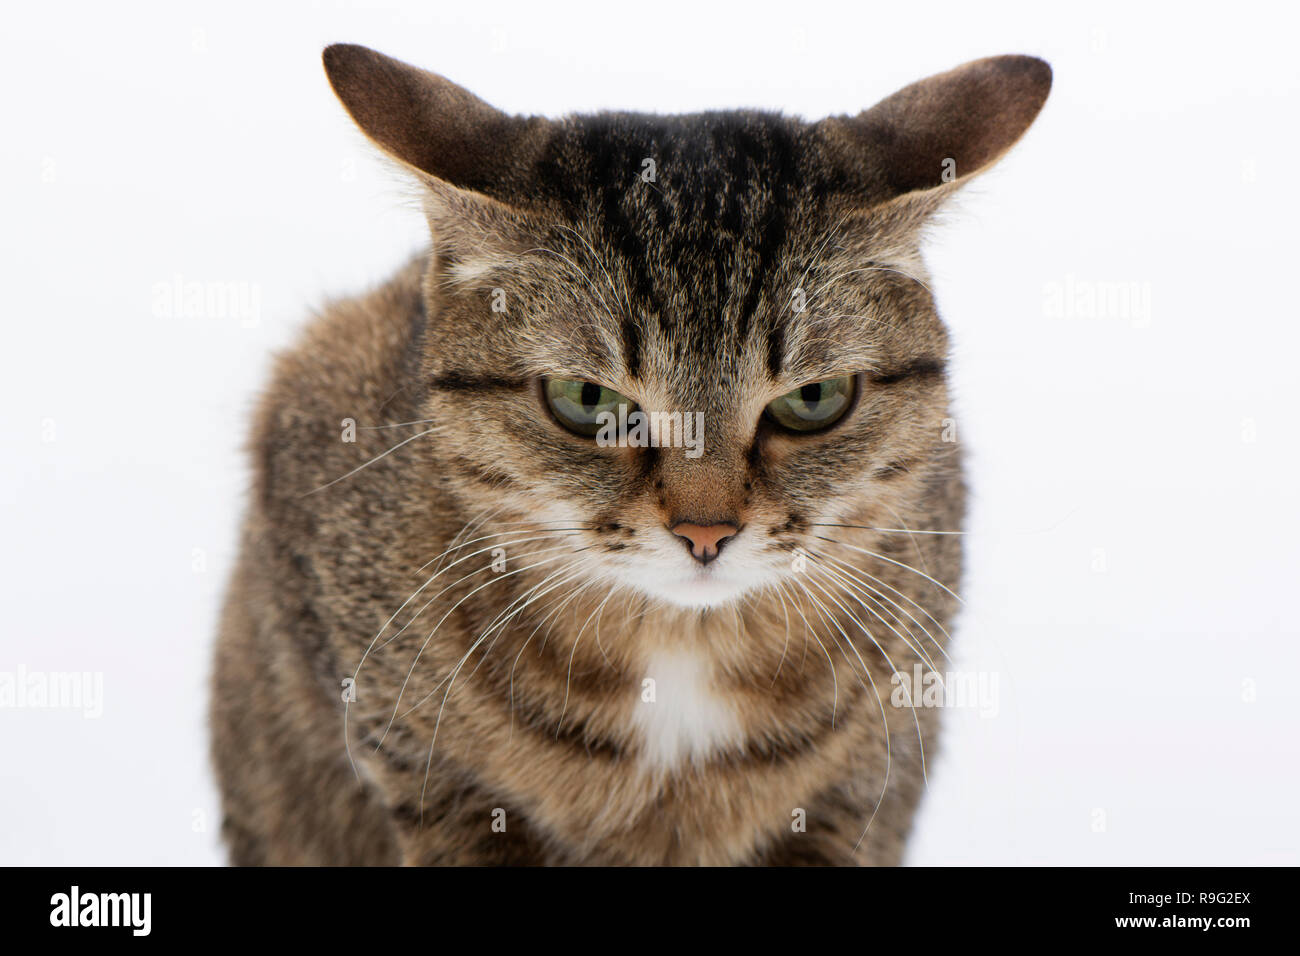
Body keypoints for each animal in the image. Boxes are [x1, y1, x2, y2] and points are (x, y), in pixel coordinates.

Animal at [210, 44, 1045, 868]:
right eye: (587, 399)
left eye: (813, 399)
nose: (706, 532)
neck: (679, 659)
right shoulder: (424, 772)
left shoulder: (862, 788)